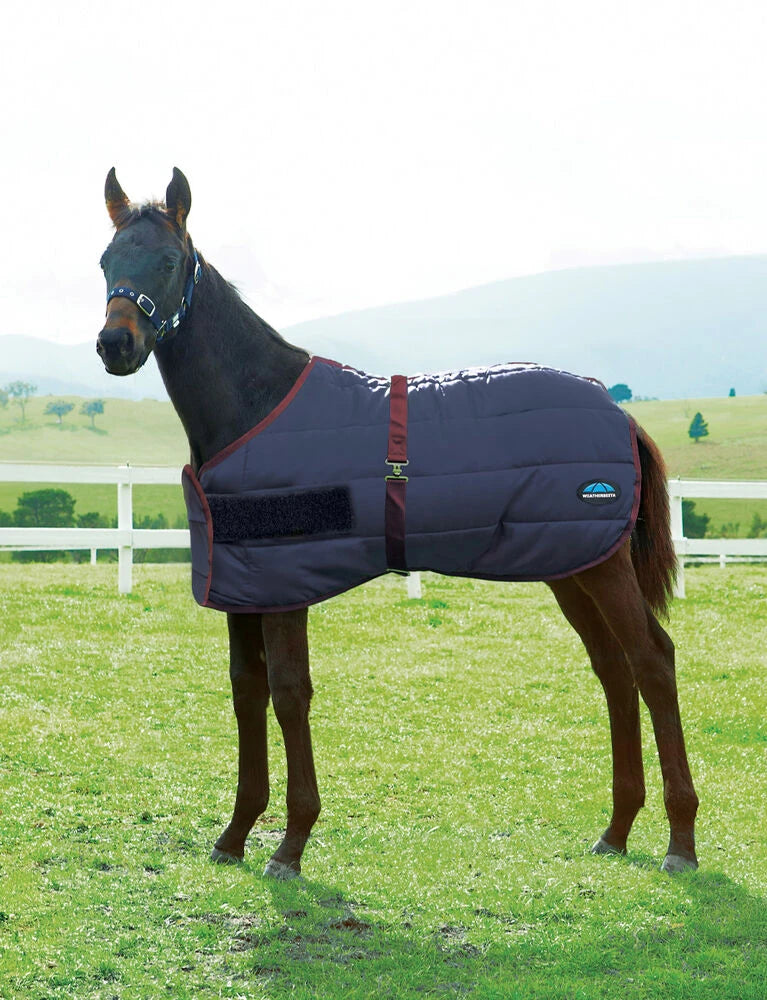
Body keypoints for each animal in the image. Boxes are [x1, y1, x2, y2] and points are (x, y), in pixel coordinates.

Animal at [96, 167, 699, 879]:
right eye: (105, 260)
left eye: (168, 261)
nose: (115, 345)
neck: (257, 406)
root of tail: (618, 412)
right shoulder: (243, 588)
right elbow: (247, 693)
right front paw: (236, 834)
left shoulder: (285, 589)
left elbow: (289, 693)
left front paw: (291, 844)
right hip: (571, 567)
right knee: (614, 671)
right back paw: (616, 830)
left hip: (602, 569)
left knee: (652, 661)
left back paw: (681, 842)